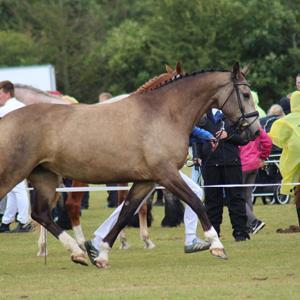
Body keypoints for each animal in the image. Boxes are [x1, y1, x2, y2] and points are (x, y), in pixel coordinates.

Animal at [0, 62, 258, 266]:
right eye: (246, 94)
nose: (254, 132)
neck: (163, 113)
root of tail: (6, 119)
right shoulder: (167, 175)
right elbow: (196, 202)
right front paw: (216, 245)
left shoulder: (147, 181)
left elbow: (126, 213)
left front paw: (102, 254)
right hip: (15, 175)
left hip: (45, 177)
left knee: (41, 214)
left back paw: (77, 252)